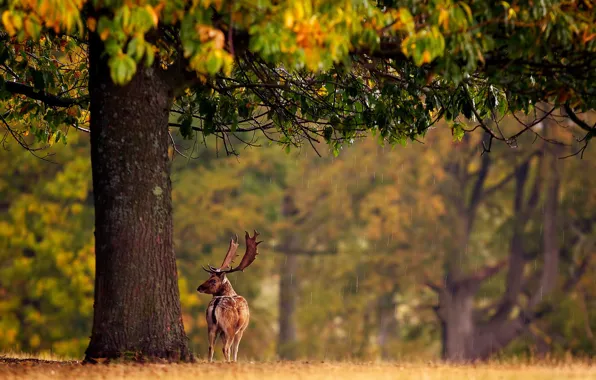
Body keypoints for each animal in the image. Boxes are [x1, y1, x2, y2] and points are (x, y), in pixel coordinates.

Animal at [198, 230, 260, 360]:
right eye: (209, 278)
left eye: (213, 280)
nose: (199, 288)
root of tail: (216, 304)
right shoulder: (241, 329)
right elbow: (235, 349)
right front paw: (235, 361)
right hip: (229, 328)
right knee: (225, 348)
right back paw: (228, 362)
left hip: (211, 326)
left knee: (211, 347)